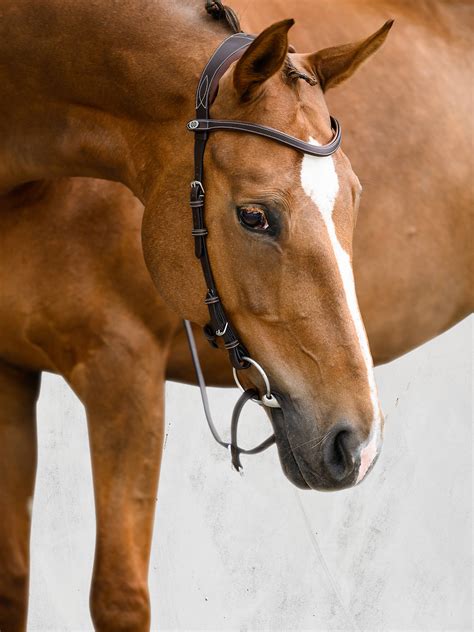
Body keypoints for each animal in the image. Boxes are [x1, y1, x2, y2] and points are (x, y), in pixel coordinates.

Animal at [0, 1, 470, 632]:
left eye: (355, 196)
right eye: (253, 216)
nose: (359, 444)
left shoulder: (124, 373)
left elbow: (118, 595)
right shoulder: (12, 373)